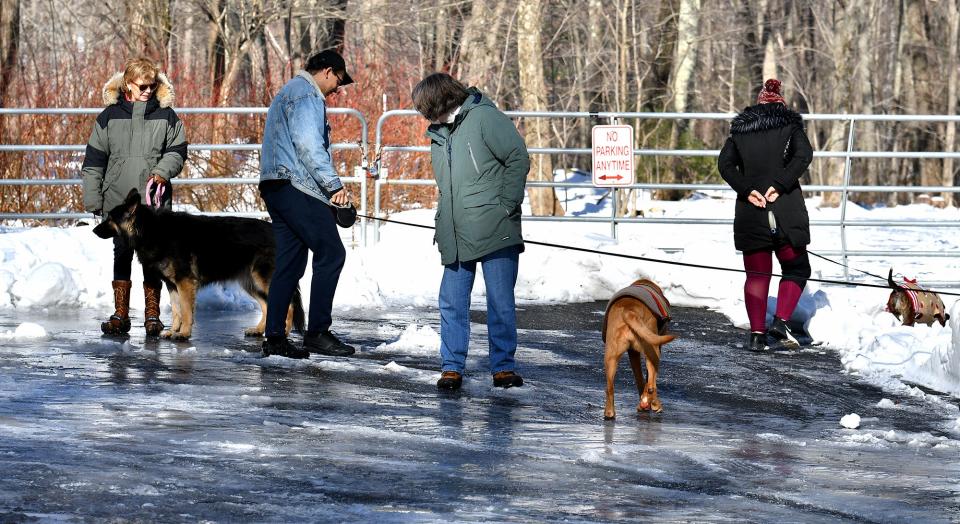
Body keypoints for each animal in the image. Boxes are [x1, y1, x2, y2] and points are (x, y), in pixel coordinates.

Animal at [94, 188, 304, 340]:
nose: (94, 230)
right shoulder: (172, 285)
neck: (150, 230)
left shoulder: (185, 283)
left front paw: (184, 334)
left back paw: (282, 333)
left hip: (262, 280)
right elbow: (177, 310)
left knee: (288, 305)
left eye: (110, 219)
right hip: (251, 283)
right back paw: (259, 331)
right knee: (267, 305)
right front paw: (173, 330)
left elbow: (186, 311)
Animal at [600, 278, 676, 422]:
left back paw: (610, 413)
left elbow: (640, 379)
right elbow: (647, 379)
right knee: (651, 385)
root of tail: (628, 310)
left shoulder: (633, 353)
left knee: (609, 388)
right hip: (653, 351)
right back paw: (654, 404)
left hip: (610, 357)